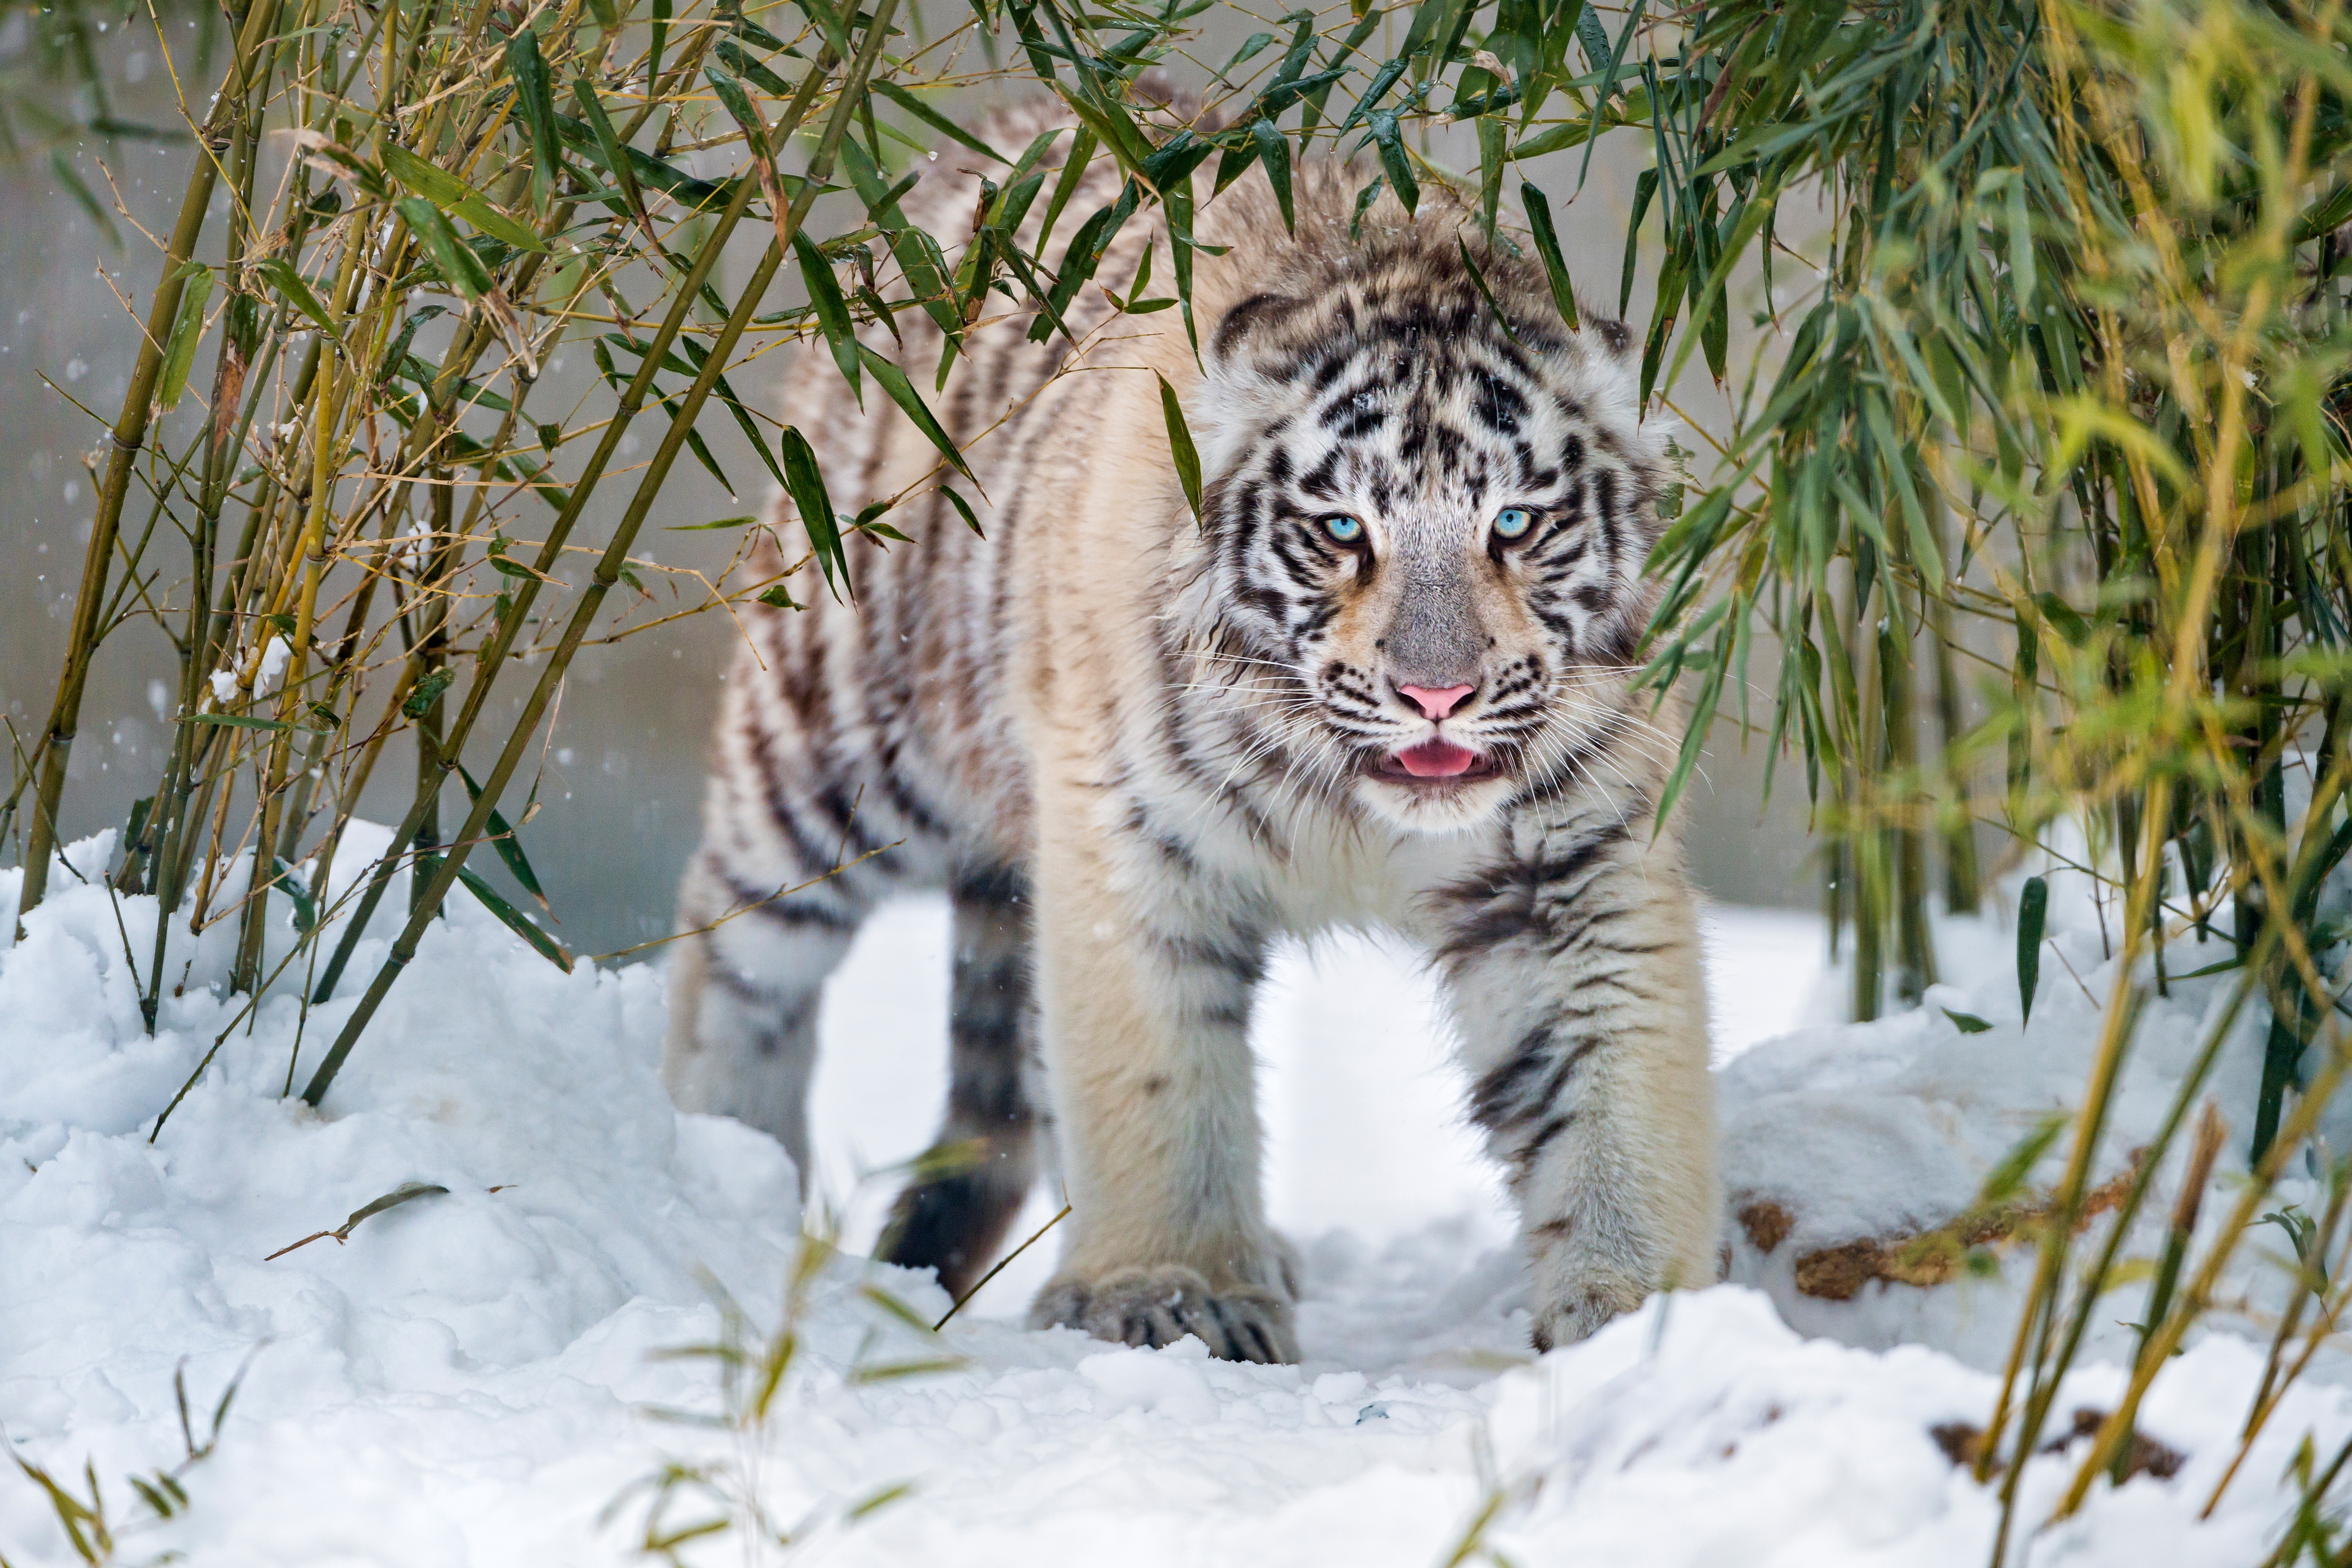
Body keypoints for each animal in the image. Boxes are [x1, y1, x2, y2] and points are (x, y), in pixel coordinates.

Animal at [663, 98, 1712, 1363]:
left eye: (1514, 524)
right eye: (1342, 530)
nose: (1437, 694)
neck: (1357, 801)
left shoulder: (1577, 864)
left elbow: (1610, 1083)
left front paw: (1643, 1317)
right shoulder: (1128, 840)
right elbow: (1157, 1082)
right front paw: (1166, 1294)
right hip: (835, 745)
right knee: (736, 956)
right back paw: (719, 1183)